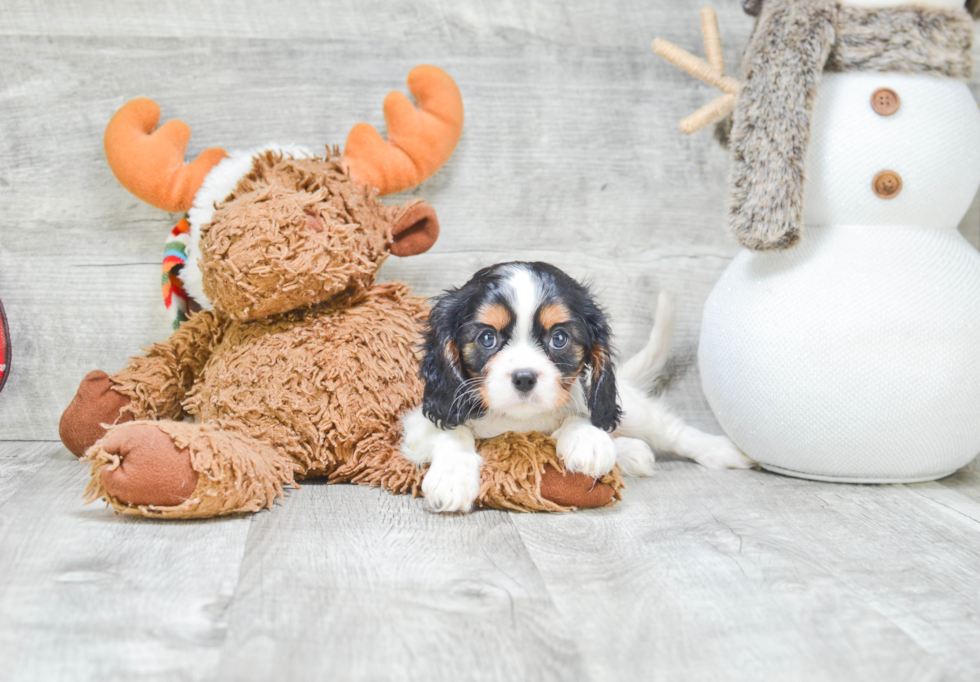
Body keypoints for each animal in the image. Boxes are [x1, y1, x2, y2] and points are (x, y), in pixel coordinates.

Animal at [398, 260, 752, 510]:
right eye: (487, 338)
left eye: (559, 339)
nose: (524, 377)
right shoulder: (419, 423)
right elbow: (454, 432)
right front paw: (452, 477)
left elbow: (581, 413)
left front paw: (586, 439)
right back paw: (632, 453)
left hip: (636, 412)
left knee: (671, 431)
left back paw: (720, 450)